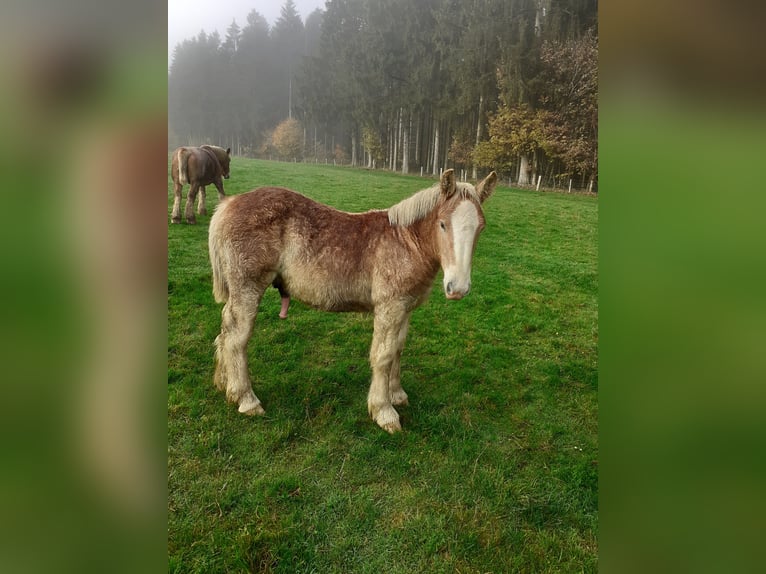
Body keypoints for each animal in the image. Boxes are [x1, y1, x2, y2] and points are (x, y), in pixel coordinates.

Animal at [208, 169, 498, 434]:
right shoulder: (389, 308)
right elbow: (383, 356)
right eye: (442, 224)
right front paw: (384, 412)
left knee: (225, 331)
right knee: (237, 340)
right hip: (248, 288)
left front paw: (397, 395)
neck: (405, 242)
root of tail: (228, 204)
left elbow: (398, 349)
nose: (457, 288)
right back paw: (246, 399)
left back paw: (225, 385)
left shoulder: (405, 308)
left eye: (480, 227)